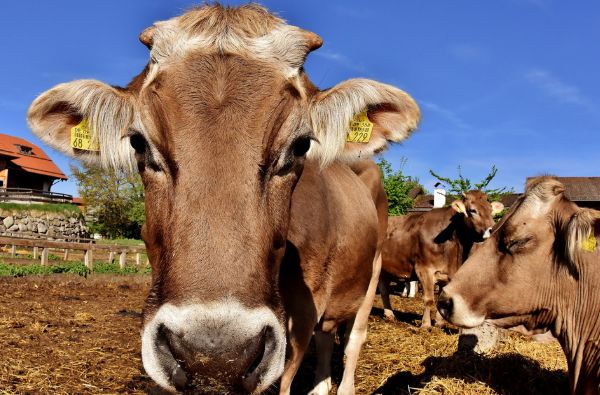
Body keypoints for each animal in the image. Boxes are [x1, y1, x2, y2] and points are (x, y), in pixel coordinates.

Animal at [25, 3, 420, 395]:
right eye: (138, 142)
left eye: (300, 145)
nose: (214, 357)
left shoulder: (301, 320)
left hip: (371, 274)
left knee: (353, 340)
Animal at [380, 191, 502, 328]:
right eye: (473, 210)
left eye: (491, 210)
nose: (493, 229)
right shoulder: (424, 269)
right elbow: (428, 299)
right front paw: (425, 325)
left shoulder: (447, 274)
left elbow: (440, 299)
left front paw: (439, 323)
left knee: (384, 290)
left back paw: (389, 314)